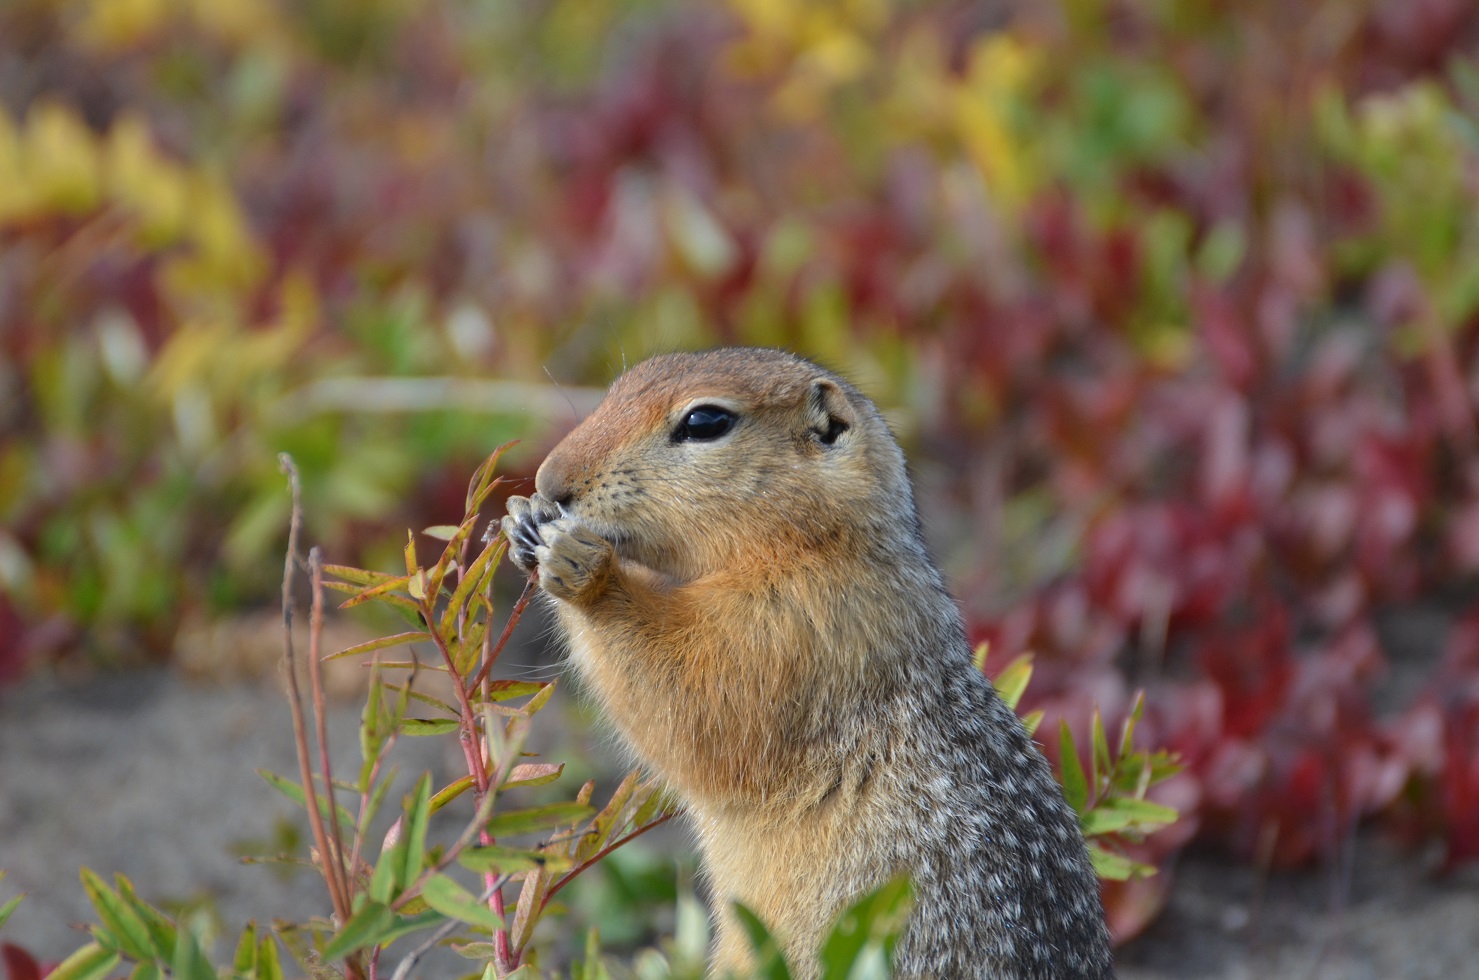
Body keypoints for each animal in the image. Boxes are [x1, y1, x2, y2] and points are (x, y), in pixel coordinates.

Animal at [502, 348, 1112, 975]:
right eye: (622, 383)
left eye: (705, 422)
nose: (549, 482)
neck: (821, 545)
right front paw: (521, 519)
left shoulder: (799, 626)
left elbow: (696, 699)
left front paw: (581, 565)